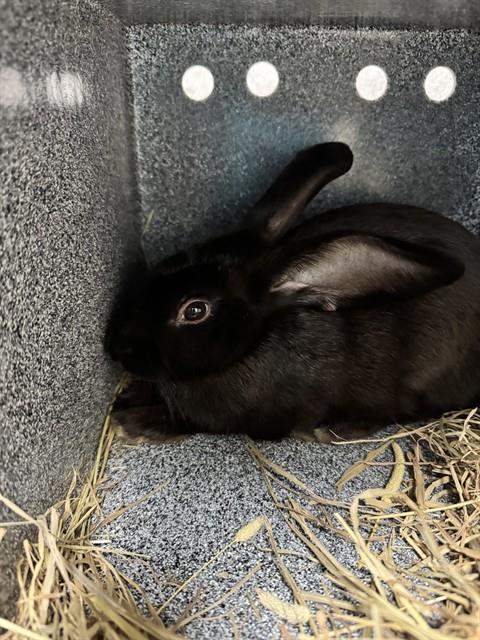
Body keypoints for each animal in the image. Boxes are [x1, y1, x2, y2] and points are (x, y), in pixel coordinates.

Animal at [105, 142, 480, 442]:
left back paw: (341, 428)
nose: (117, 347)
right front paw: (131, 397)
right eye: (171, 259)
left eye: (195, 310)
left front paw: (132, 421)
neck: (252, 347)